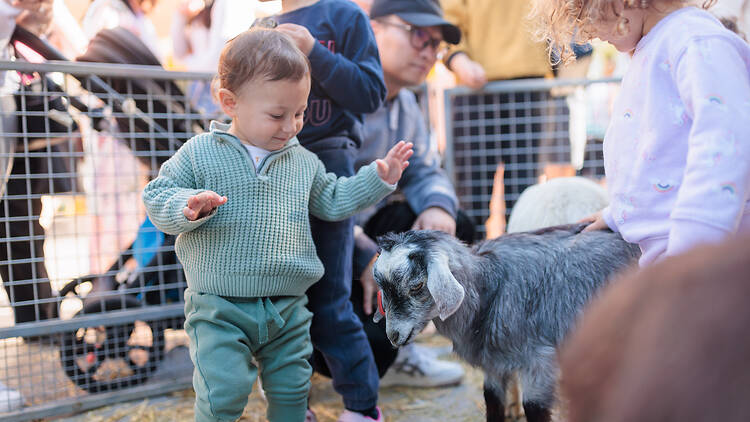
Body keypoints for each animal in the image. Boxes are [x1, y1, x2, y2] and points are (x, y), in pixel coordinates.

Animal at [372, 224, 640, 422]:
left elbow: (534, 408)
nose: (393, 336)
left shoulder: (539, 359)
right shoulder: (494, 364)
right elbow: (492, 403)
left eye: (417, 286)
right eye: (382, 288)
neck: (486, 288)